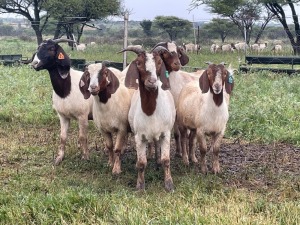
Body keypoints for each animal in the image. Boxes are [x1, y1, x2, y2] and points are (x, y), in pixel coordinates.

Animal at [119, 45, 176, 192]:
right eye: (138, 63)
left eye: (159, 62)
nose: (152, 82)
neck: (151, 111)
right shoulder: (139, 136)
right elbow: (141, 162)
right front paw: (140, 185)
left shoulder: (166, 133)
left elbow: (166, 160)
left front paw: (169, 184)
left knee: (156, 145)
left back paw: (157, 162)